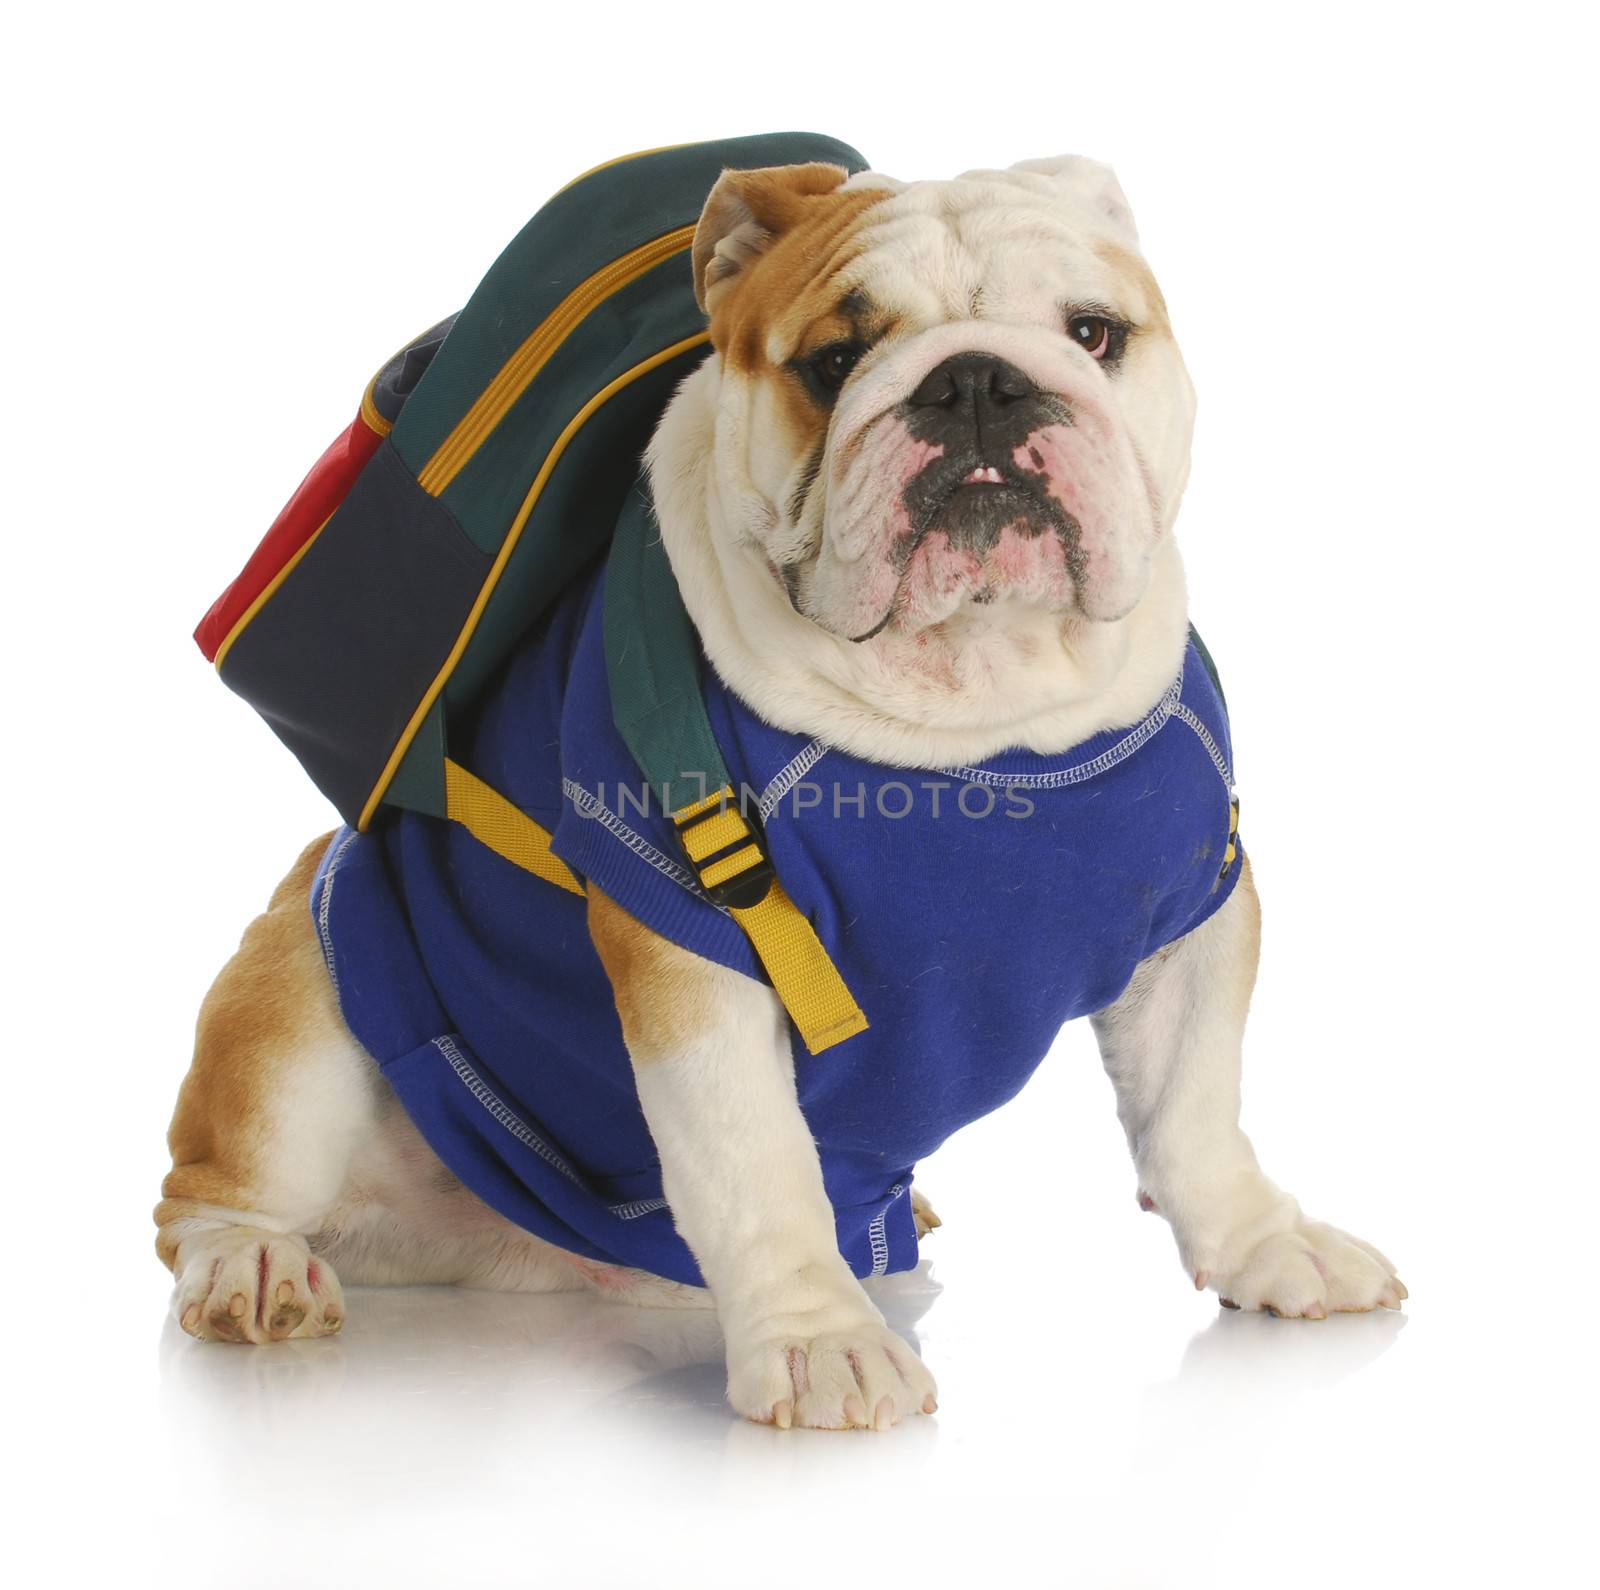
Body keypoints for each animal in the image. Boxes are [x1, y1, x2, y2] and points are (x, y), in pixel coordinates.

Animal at [152, 155, 1401, 1433]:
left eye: (1093, 333)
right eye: (833, 361)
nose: (977, 382)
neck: (977, 701)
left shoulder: (1197, 911)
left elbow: (1192, 1111)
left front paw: (1266, 1245)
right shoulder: (695, 951)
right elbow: (756, 1165)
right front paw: (818, 1343)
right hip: (300, 1007)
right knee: (210, 1193)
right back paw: (256, 1268)